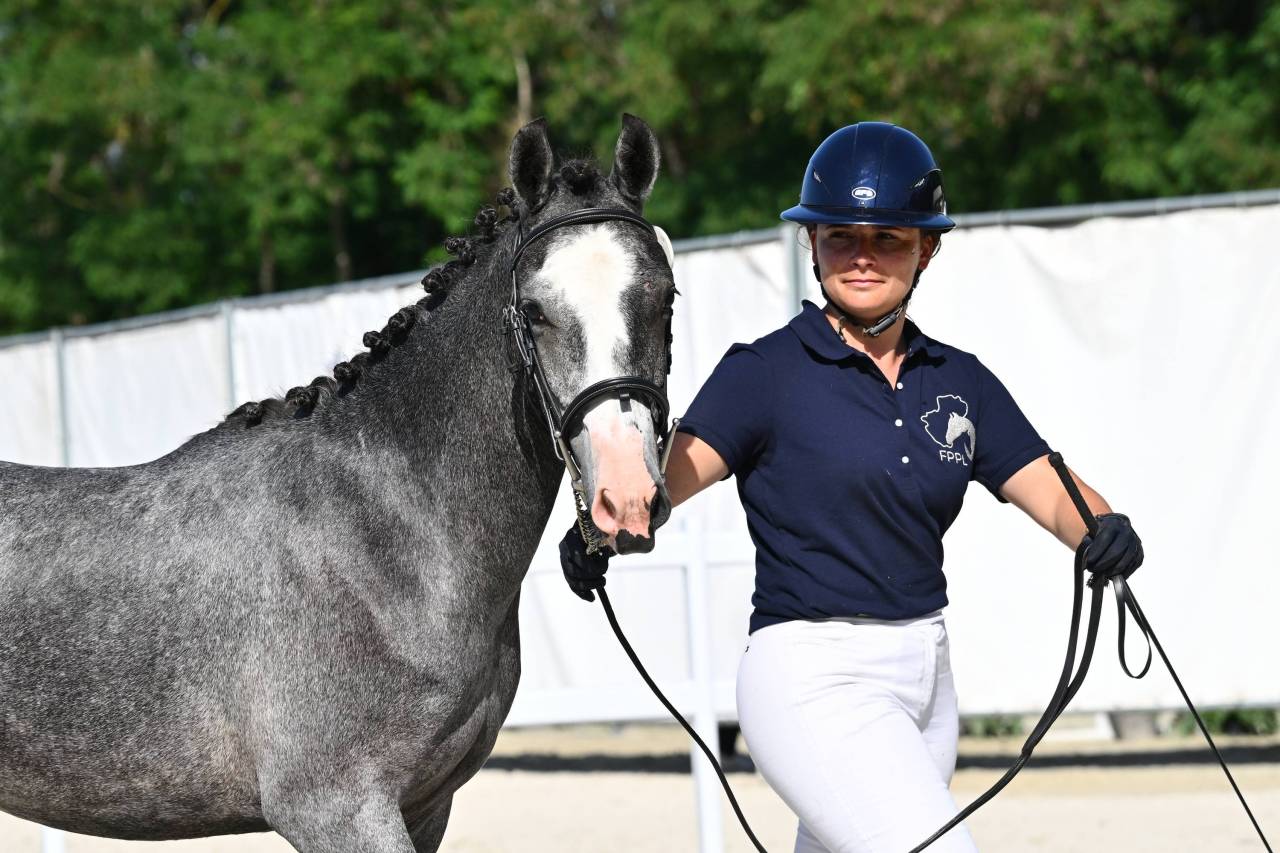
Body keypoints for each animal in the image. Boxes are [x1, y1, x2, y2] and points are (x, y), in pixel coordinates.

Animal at [0, 114, 677, 852]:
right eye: (535, 311)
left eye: (664, 298)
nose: (626, 495)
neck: (386, 533)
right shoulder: (337, 808)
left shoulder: (424, 806)